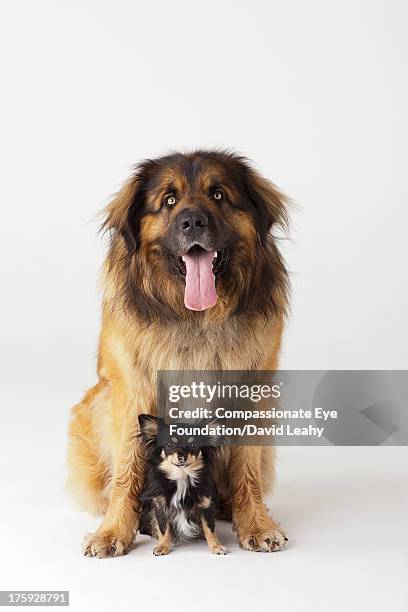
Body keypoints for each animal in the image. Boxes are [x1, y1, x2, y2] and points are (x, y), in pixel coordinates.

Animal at [67, 151, 288, 556]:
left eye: (218, 195)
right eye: (169, 200)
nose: (193, 222)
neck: (195, 317)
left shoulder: (251, 393)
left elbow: (247, 468)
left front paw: (257, 523)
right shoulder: (131, 391)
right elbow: (127, 467)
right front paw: (114, 531)